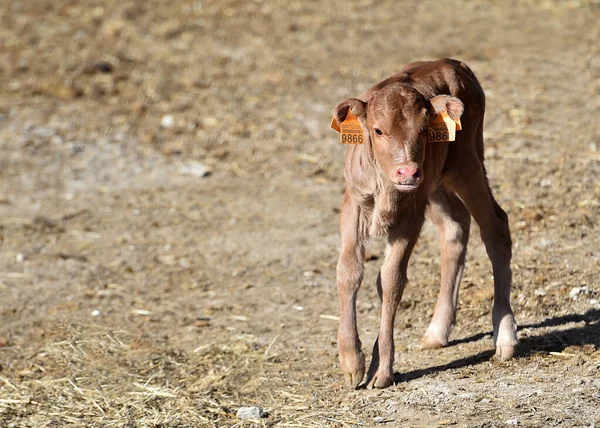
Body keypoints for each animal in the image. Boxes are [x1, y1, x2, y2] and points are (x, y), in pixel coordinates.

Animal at [330, 58, 516, 390]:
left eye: (423, 130)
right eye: (378, 130)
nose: (408, 172)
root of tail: (453, 63)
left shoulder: (411, 212)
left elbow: (390, 279)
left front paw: (381, 369)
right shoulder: (354, 202)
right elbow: (349, 271)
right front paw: (351, 361)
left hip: (467, 164)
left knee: (495, 226)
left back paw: (505, 338)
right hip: (437, 183)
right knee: (456, 226)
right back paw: (437, 332)